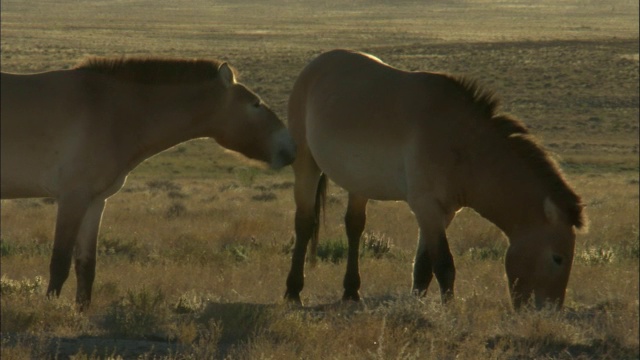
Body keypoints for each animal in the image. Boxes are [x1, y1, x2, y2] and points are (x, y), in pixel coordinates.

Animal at [1, 57, 296, 310]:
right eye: (256, 104)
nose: (289, 147)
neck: (110, 110)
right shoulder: (73, 198)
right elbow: (59, 263)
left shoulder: (95, 201)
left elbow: (86, 266)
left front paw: (80, 314)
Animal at [284, 48, 584, 310]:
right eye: (558, 258)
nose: (550, 311)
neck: (461, 141)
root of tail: (315, 65)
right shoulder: (426, 206)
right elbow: (443, 264)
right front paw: (448, 310)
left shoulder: (444, 211)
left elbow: (424, 265)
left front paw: (416, 304)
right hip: (306, 165)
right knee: (304, 223)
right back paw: (293, 292)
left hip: (358, 182)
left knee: (354, 225)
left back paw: (350, 290)